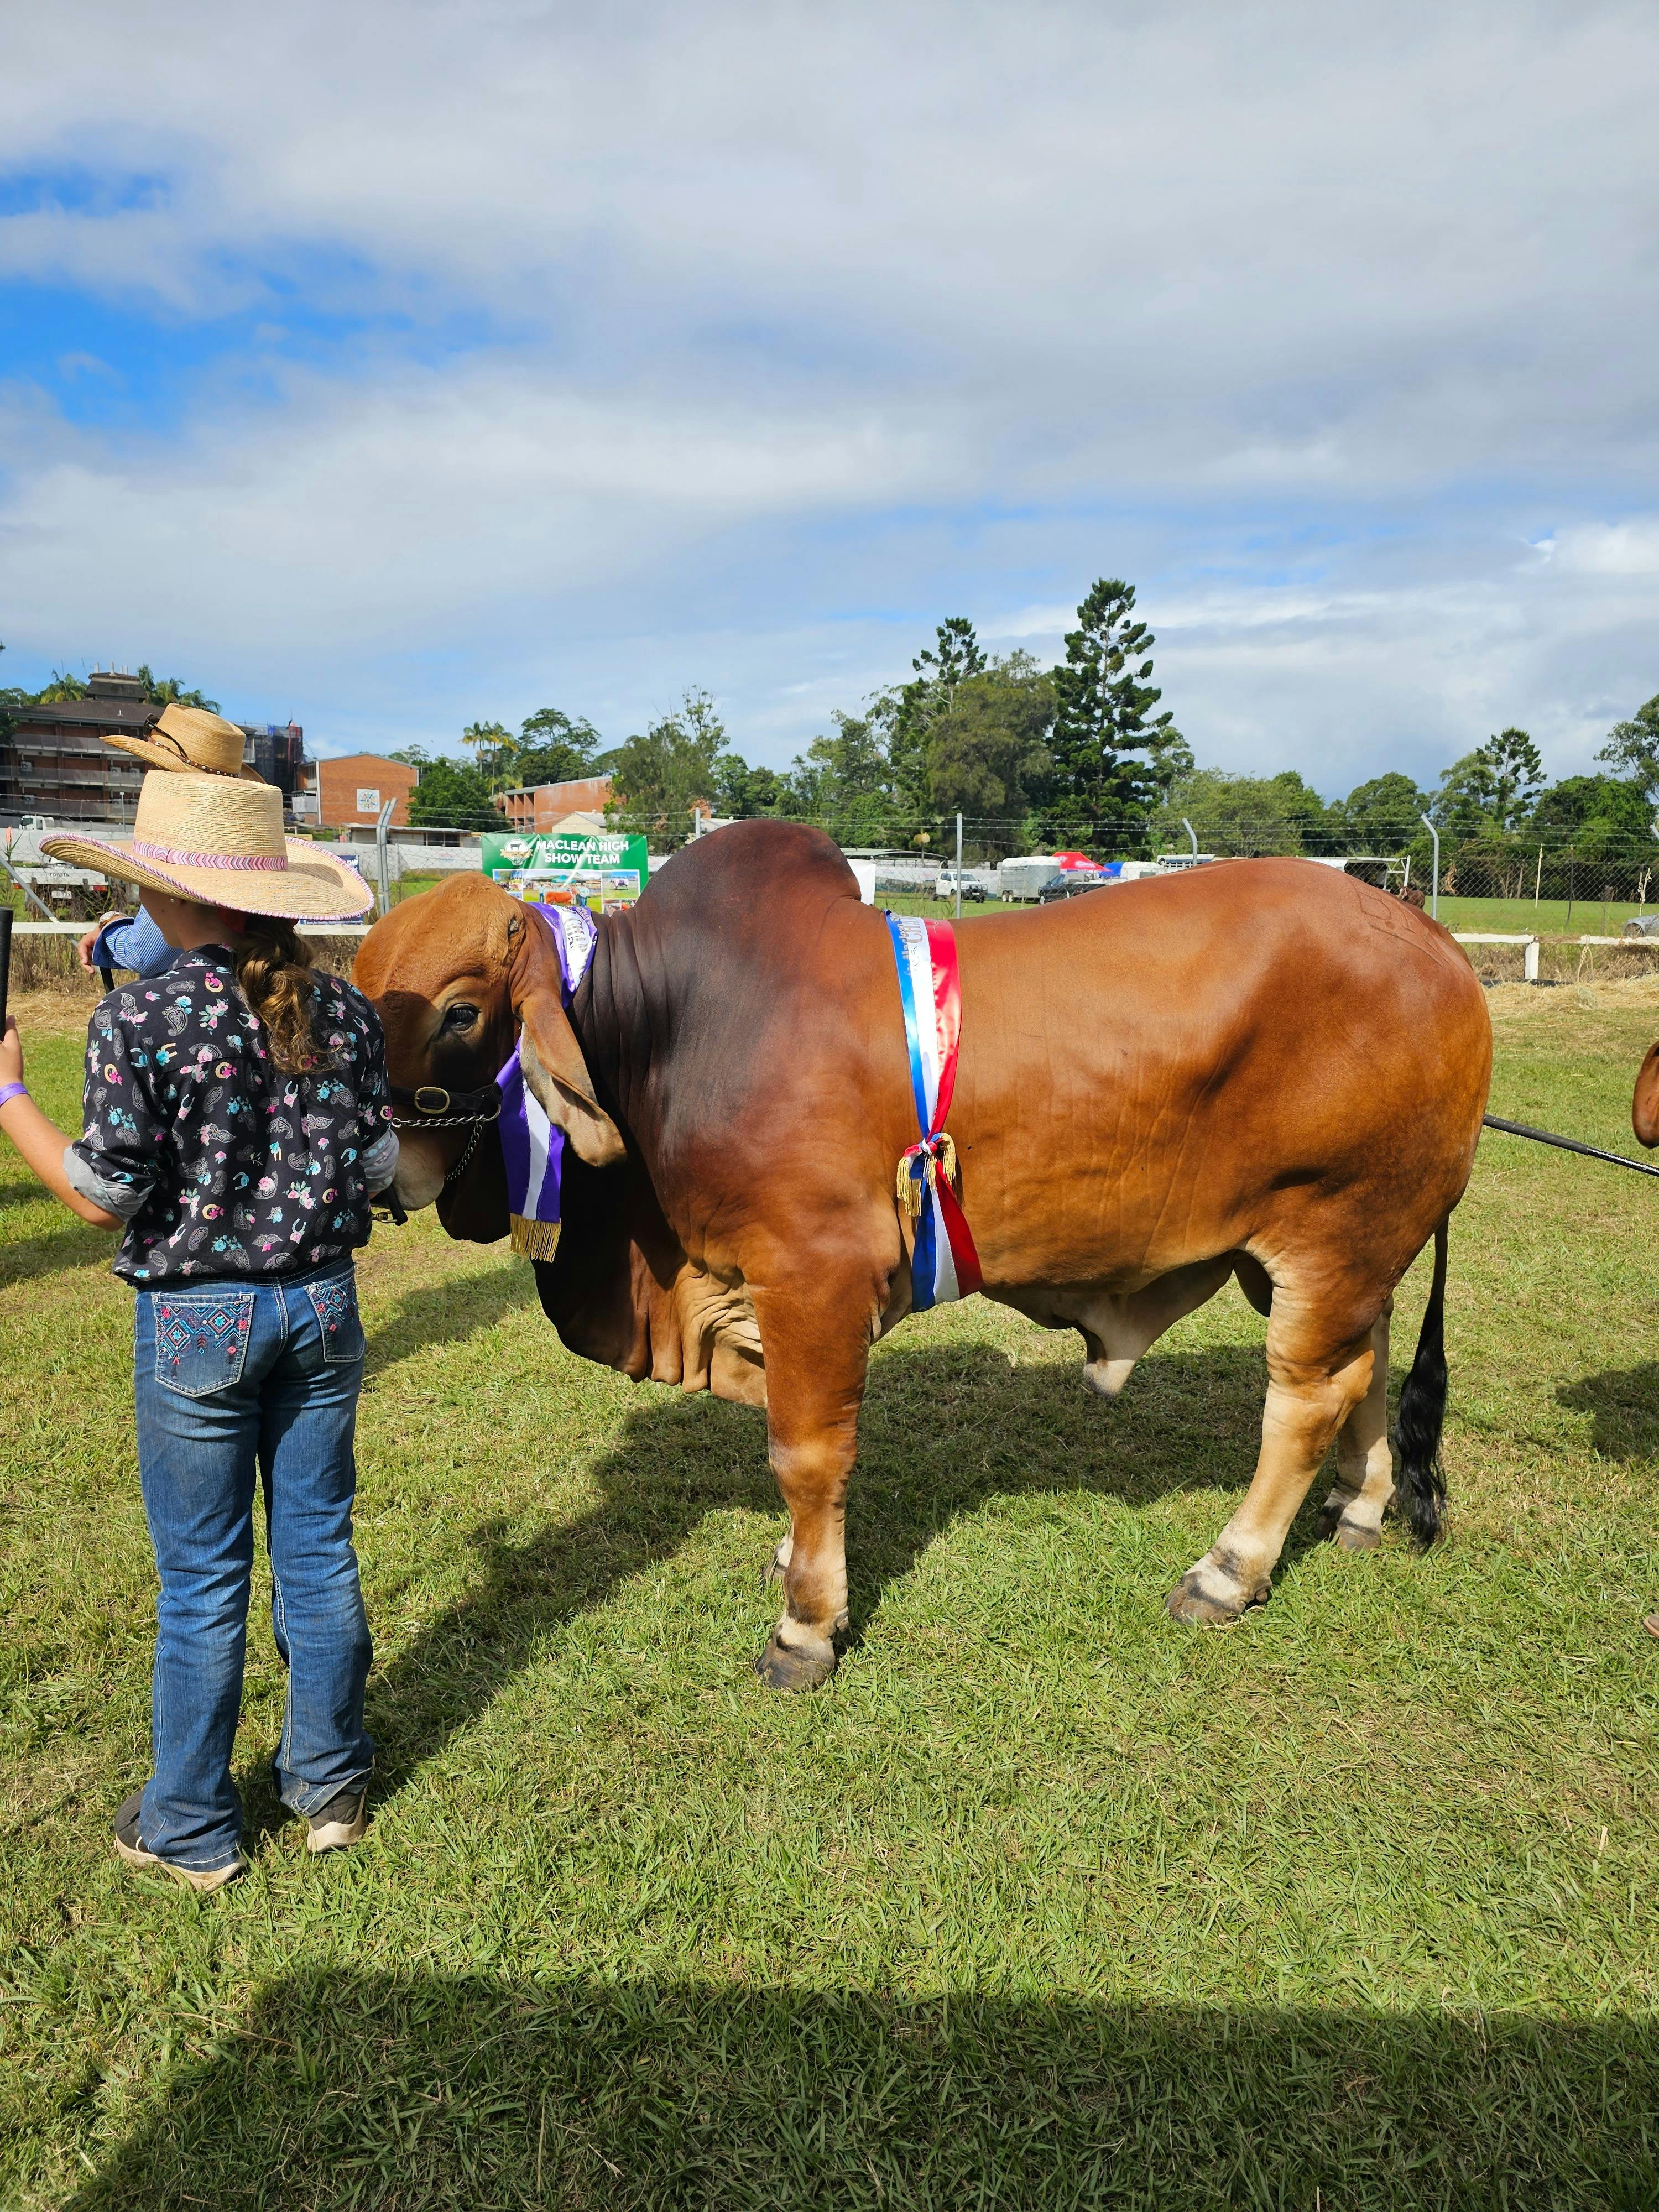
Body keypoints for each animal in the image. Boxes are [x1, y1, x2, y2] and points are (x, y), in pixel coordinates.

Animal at [354, 824, 1492, 1690]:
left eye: (461, 1011)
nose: (368, 1167)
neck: (669, 1030)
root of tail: (1434, 941)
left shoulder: (811, 1272)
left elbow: (805, 1453)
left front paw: (806, 1626)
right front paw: (793, 1563)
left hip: (1333, 1224)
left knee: (1305, 1398)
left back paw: (1228, 1571)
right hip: (1348, 1250)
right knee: (1368, 1364)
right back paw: (1361, 1506)